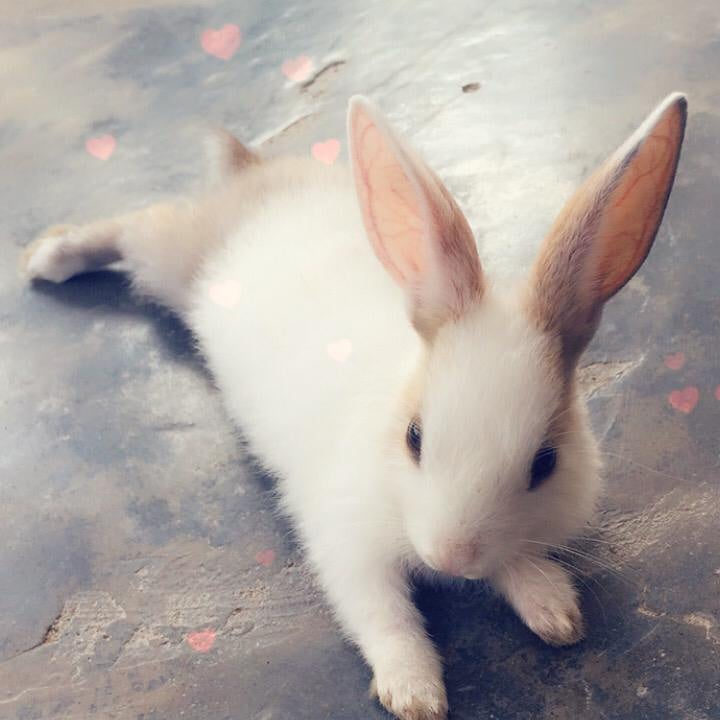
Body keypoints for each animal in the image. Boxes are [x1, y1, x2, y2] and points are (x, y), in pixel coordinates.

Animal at [21, 92, 687, 720]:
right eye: (415, 438)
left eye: (545, 463)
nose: (452, 555)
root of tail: (254, 175)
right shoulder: (346, 547)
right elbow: (384, 619)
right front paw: (415, 693)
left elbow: (516, 562)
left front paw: (555, 611)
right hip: (173, 256)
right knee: (137, 224)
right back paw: (46, 258)